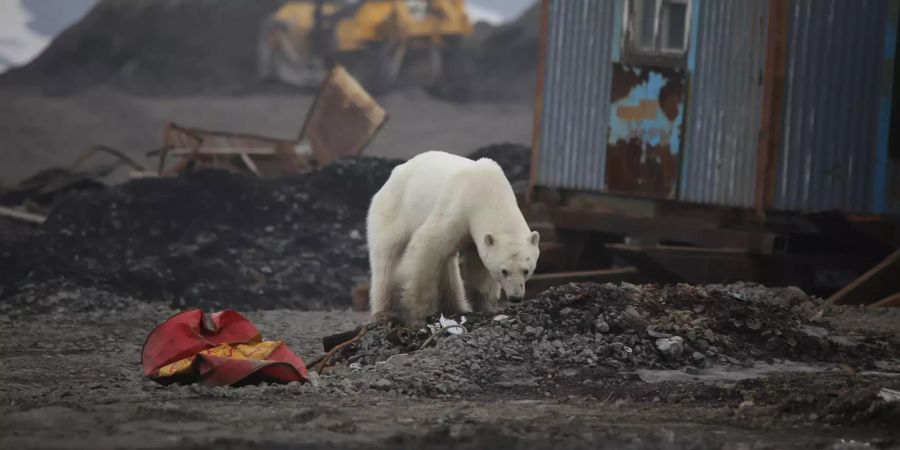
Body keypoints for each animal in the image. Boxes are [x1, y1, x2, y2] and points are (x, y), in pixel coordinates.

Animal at [368, 149, 540, 326]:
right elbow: (426, 245)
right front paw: (416, 315)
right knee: (386, 259)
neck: (488, 190)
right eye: (504, 271)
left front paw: (488, 307)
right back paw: (383, 313)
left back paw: (456, 307)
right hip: (393, 211)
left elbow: (479, 266)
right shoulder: (457, 209)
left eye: (526, 270)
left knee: (447, 264)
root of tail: (391, 177)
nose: (515, 297)